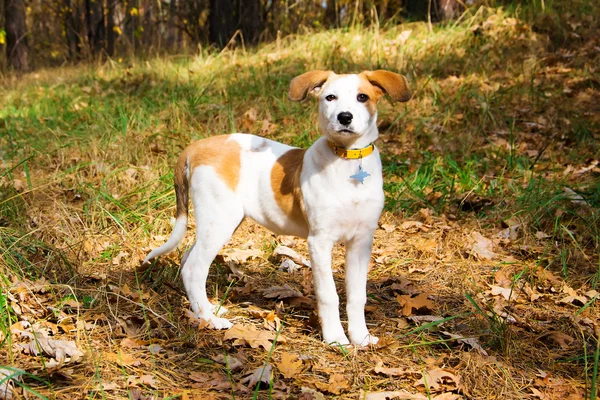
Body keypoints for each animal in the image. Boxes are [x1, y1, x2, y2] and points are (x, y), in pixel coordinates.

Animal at [143, 69, 410, 346]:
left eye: (362, 97)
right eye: (330, 97)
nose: (344, 117)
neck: (346, 161)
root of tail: (196, 146)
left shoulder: (361, 241)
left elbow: (357, 295)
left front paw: (360, 337)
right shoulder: (320, 241)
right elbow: (329, 294)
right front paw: (335, 338)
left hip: (217, 221)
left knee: (187, 260)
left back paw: (205, 310)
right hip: (220, 221)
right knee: (194, 268)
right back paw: (210, 320)